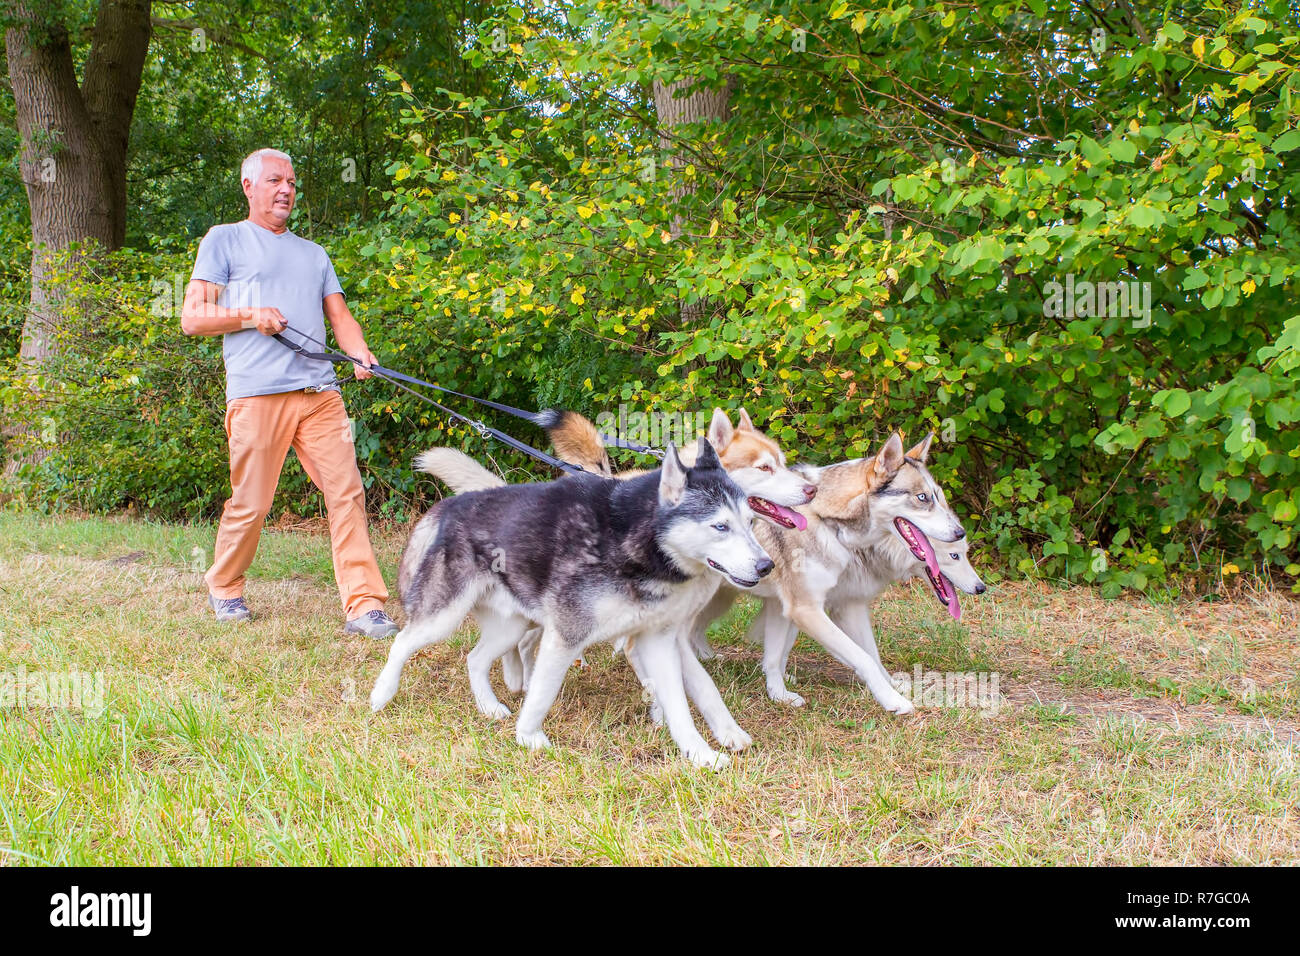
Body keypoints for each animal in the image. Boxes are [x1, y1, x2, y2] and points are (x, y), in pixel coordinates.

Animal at [366, 442, 769, 770]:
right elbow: (543, 691)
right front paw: (529, 737)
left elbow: (684, 702)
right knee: (402, 642)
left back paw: (489, 707)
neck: (632, 538)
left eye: (751, 522)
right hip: (444, 618)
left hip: (510, 626)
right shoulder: (566, 634)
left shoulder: (658, 641)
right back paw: (381, 694)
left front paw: (700, 753)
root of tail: (453, 505)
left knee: (475, 659)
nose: (766, 565)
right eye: (720, 526)